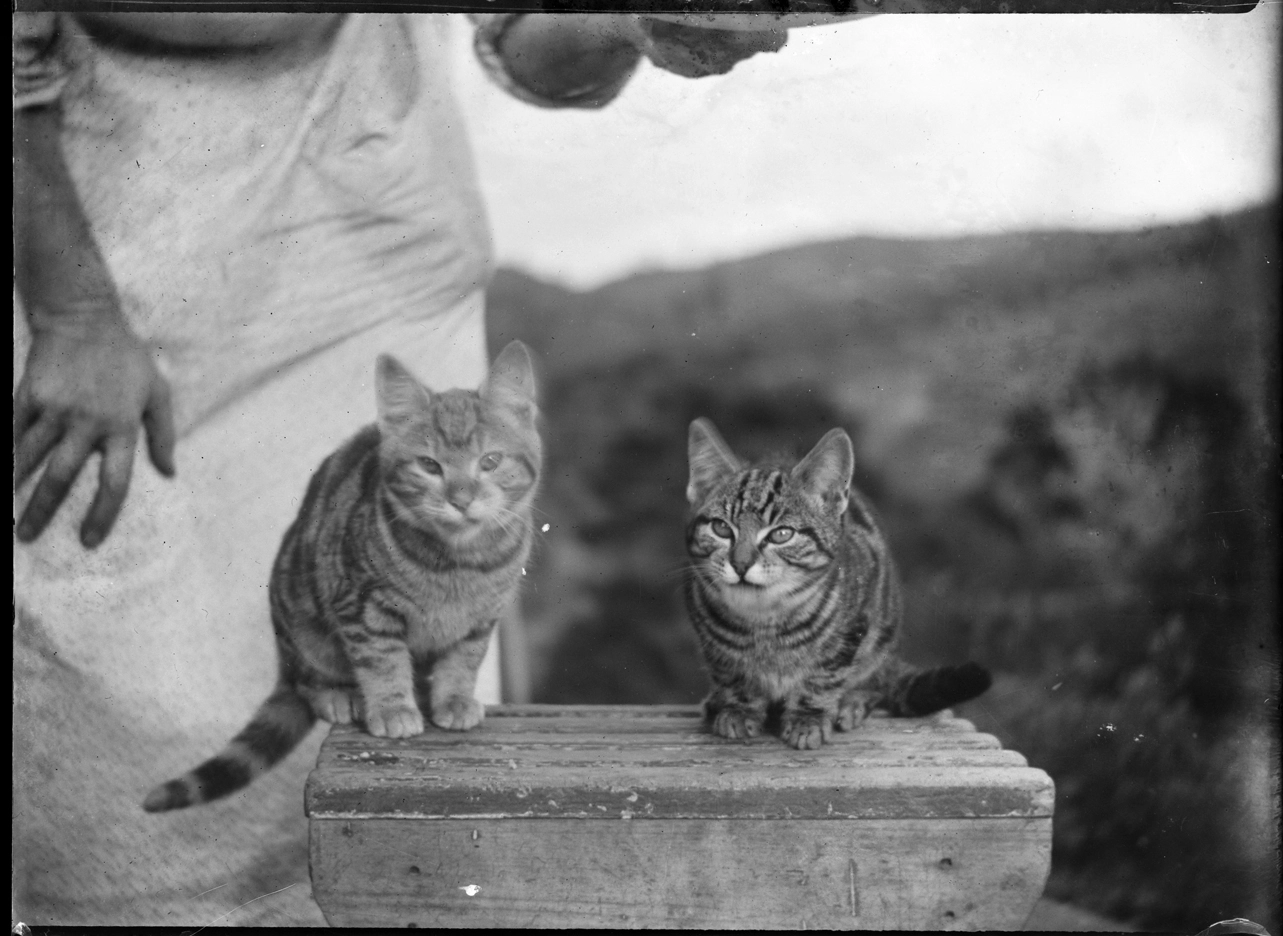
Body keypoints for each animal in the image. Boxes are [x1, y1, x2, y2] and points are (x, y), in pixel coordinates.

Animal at [141, 338, 541, 805]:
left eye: (490, 461)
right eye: (430, 466)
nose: (461, 499)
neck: (459, 563)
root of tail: (284, 661)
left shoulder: (482, 618)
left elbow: (464, 657)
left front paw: (454, 698)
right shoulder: (363, 605)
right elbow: (382, 659)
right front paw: (392, 707)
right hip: (303, 623)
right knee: (310, 681)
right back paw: (338, 696)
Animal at [687, 420, 985, 748]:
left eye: (781, 534)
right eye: (721, 528)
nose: (740, 564)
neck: (764, 620)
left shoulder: (853, 628)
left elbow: (823, 676)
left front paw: (808, 718)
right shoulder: (709, 637)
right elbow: (731, 672)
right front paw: (739, 708)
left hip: (882, 635)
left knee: (875, 682)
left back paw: (852, 702)